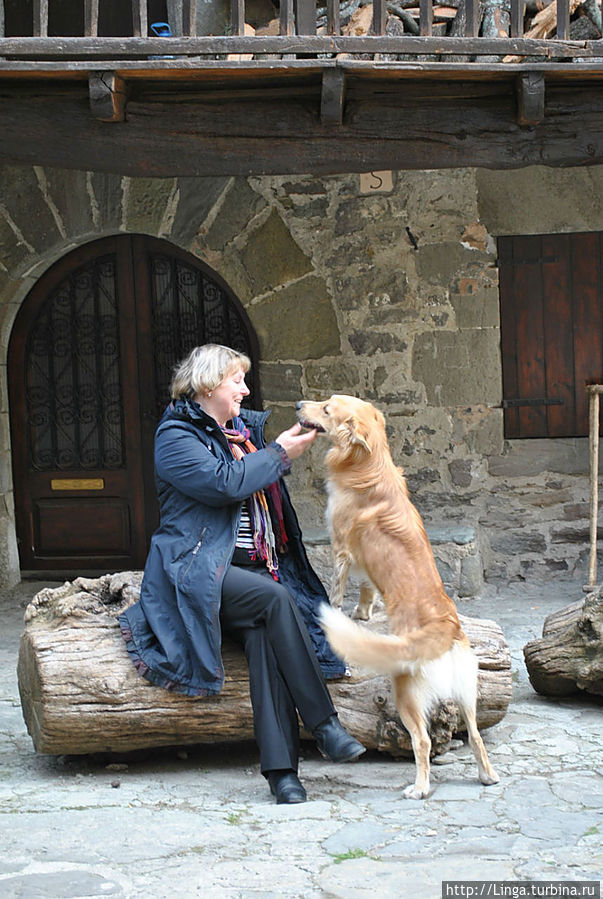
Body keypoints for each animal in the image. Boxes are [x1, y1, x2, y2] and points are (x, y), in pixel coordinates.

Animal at [298, 394, 500, 800]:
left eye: (326, 408)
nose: (298, 404)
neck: (368, 463)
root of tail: (446, 626)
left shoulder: (341, 550)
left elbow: (336, 590)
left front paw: (338, 612)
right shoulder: (364, 564)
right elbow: (367, 589)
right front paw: (363, 612)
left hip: (406, 692)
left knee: (422, 741)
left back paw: (419, 788)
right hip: (468, 693)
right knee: (475, 736)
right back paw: (487, 776)